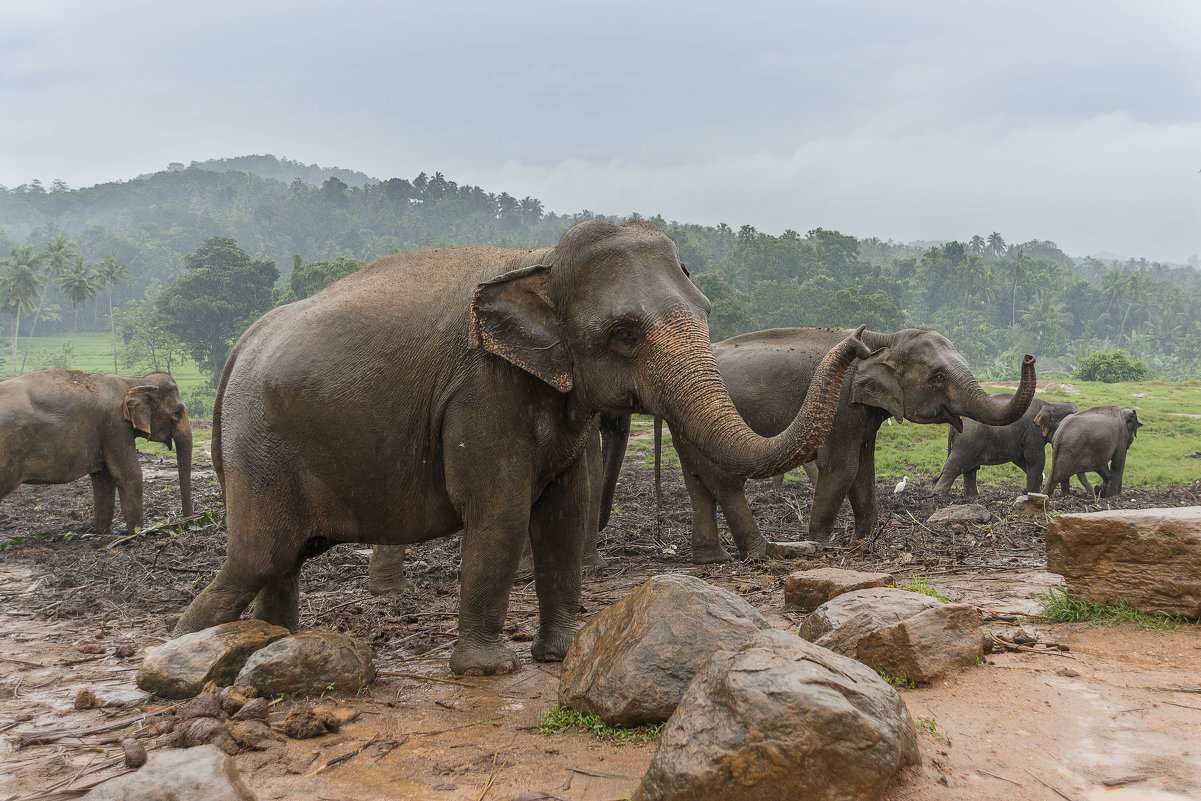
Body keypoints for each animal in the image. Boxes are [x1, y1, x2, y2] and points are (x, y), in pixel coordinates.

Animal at [0, 369, 192, 533]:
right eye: (177, 413)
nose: (186, 523)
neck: (132, 381)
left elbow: (104, 478)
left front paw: (101, 532)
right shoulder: (114, 425)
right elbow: (128, 474)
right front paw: (138, 533)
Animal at [175, 220, 874, 677]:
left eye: (704, 310)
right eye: (624, 333)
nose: (860, 337)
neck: (539, 260)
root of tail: (240, 348)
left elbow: (565, 509)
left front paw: (563, 652)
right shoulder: (483, 389)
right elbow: (502, 512)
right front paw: (489, 668)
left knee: (282, 562)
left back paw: (274, 644)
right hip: (261, 451)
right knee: (260, 556)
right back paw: (183, 647)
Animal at [653, 326, 1037, 564]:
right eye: (938, 376)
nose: (1029, 357)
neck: (885, 337)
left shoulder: (863, 412)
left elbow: (863, 468)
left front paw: (863, 540)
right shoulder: (840, 405)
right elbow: (843, 466)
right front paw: (820, 544)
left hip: (684, 422)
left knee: (697, 481)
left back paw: (711, 559)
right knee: (720, 480)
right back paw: (759, 552)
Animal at [927, 396, 1080, 497]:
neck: (1050, 403)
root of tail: (954, 425)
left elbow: (1020, 459)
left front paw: (1028, 490)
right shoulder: (1033, 432)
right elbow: (1035, 459)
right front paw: (1033, 493)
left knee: (969, 470)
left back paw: (972, 497)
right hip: (967, 441)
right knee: (954, 465)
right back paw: (938, 495)